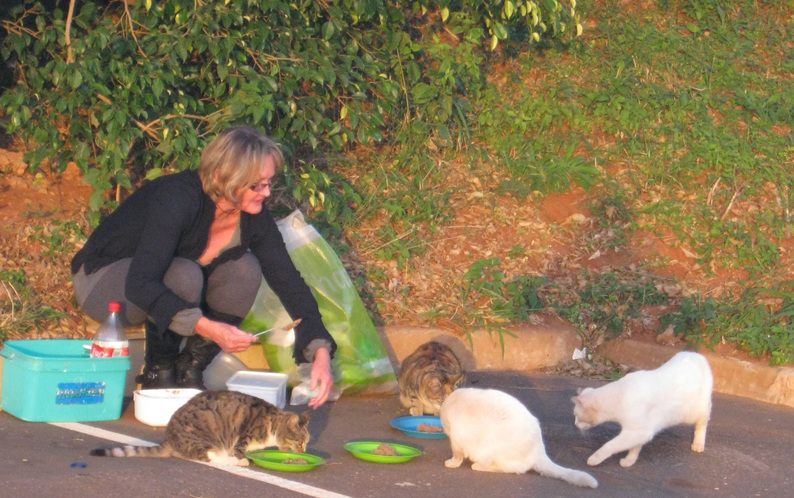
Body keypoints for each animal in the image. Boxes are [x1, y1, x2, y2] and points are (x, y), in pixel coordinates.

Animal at [90, 390, 311, 466]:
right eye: (300, 442)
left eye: (306, 444)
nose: (304, 451)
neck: (272, 424)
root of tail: (169, 437)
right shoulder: (243, 436)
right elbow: (240, 451)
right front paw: (243, 460)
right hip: (204, 439)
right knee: (205, 456)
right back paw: (231, 460)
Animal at [440, 387, 599, 488]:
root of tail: (539, 451)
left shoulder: (456, 439)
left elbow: (457, 455)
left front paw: (452, 463)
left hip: (491, 450)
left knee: (511, 469)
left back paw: (477, 466)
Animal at [572, 351, 713, 468]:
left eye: (576, 416)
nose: (575, 424)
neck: (619, 396)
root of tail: (697, 354)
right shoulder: (639, 431)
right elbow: (635, 448)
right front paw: (629, 461)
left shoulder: (636, 431)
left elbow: (610, 445)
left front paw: (594, 459)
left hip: (694, 412)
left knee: (702, 424)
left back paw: (698, 444)